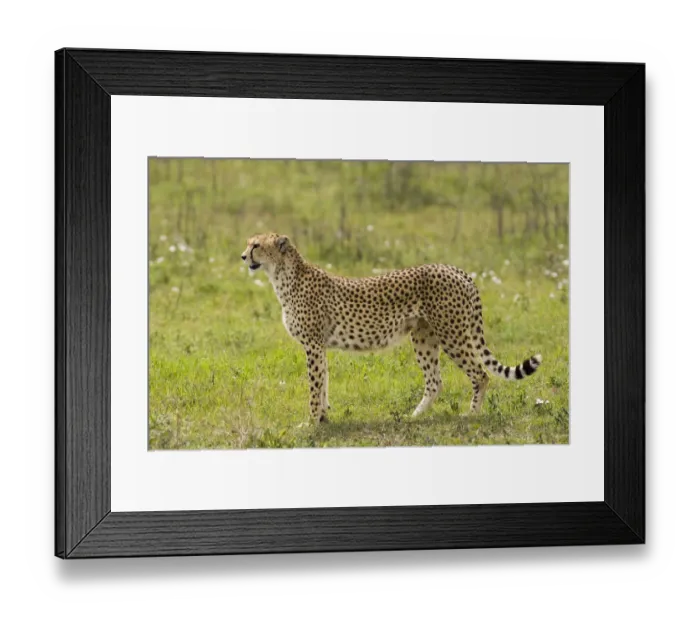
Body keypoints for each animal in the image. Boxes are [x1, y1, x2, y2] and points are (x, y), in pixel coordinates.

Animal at [241, 233, 542, 423]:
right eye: (248, 244)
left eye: (256, 245)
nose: (243, 256)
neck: (283, 275)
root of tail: (454, 268)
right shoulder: (319, 346)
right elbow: (323, 382)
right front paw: (324, 417)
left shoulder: (313, 344)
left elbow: (315, 386)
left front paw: (312, 422)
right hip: (424, 337)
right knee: (435, 381)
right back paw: (414, 417)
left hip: (452, 334)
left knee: (480, 374)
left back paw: (471, 416)